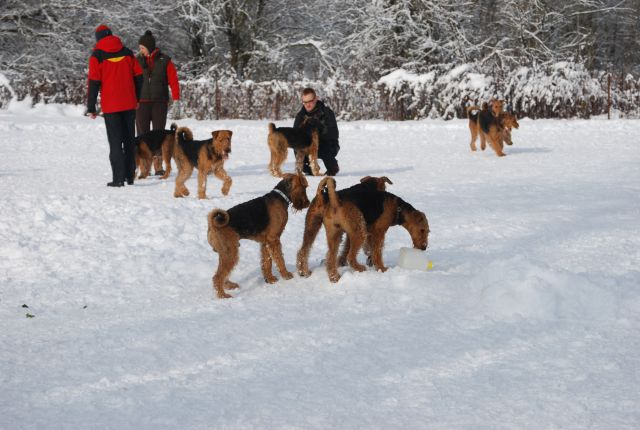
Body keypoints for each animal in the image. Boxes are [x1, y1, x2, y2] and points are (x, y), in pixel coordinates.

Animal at [298, 177, 430, 282]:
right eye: (422, 230)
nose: (424, 247)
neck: (398, 209)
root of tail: (334, 201)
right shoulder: (378, 232)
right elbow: (377, 252)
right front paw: (382, 269)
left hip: (320, 229)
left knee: (313, 253)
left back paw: (327, 276)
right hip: (359, 232)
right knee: (350, 257)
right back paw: (360, 268)